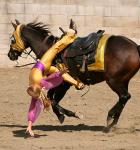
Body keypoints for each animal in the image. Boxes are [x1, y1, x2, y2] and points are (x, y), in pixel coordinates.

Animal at [7, 19, 140, 130]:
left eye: (12, 39)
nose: (10, 55)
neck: (52, 51)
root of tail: (135, 46)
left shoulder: (64, 84)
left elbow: (53, 100)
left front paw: (70, 115)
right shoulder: (62, 84)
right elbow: (51, 98)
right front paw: (62, 115)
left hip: (113, 81)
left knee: (124, 96)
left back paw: (110, 117)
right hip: (123, 81)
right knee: (124, 98)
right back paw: (113, 122)